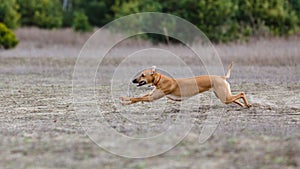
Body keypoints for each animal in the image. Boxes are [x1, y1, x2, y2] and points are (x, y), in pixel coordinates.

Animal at [120, 62, 252, 107]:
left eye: (142, 75)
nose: (133, 80)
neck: (159, 80)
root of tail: (221, 77)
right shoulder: (150, 95)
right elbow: (136, 98)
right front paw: (125, 101)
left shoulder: (152, 98)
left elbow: (137, 98)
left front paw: (123, 99)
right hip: (223, 96)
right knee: (236, 98)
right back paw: (242, 105)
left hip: (223, 96)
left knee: (241, 93)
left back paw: (248, 105)